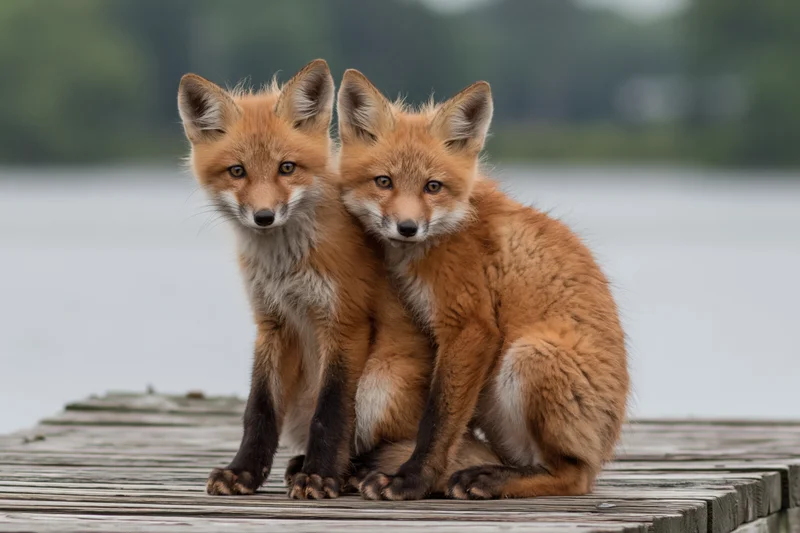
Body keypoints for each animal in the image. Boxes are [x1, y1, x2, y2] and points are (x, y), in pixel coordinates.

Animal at [177, 60, 432, 500]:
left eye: (287, 168)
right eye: (237, 171)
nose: (264, 217)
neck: (285, 270)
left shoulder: (343, 322)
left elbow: (331, 411)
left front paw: (320, 475)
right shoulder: (272, 323)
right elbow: (258, 410)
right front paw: (243, 471)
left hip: (380, 383)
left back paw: (349, 472)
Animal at [336, 69, 630, 500]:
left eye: (433, 187)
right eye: (384, 182)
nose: (407, 227)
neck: (449, 229)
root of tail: (604, 452)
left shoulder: (470, 326)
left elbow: (437, 422)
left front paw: (412, 480)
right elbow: (446, 424)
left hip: (530, 356)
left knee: (570, 476)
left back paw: (491, 479)